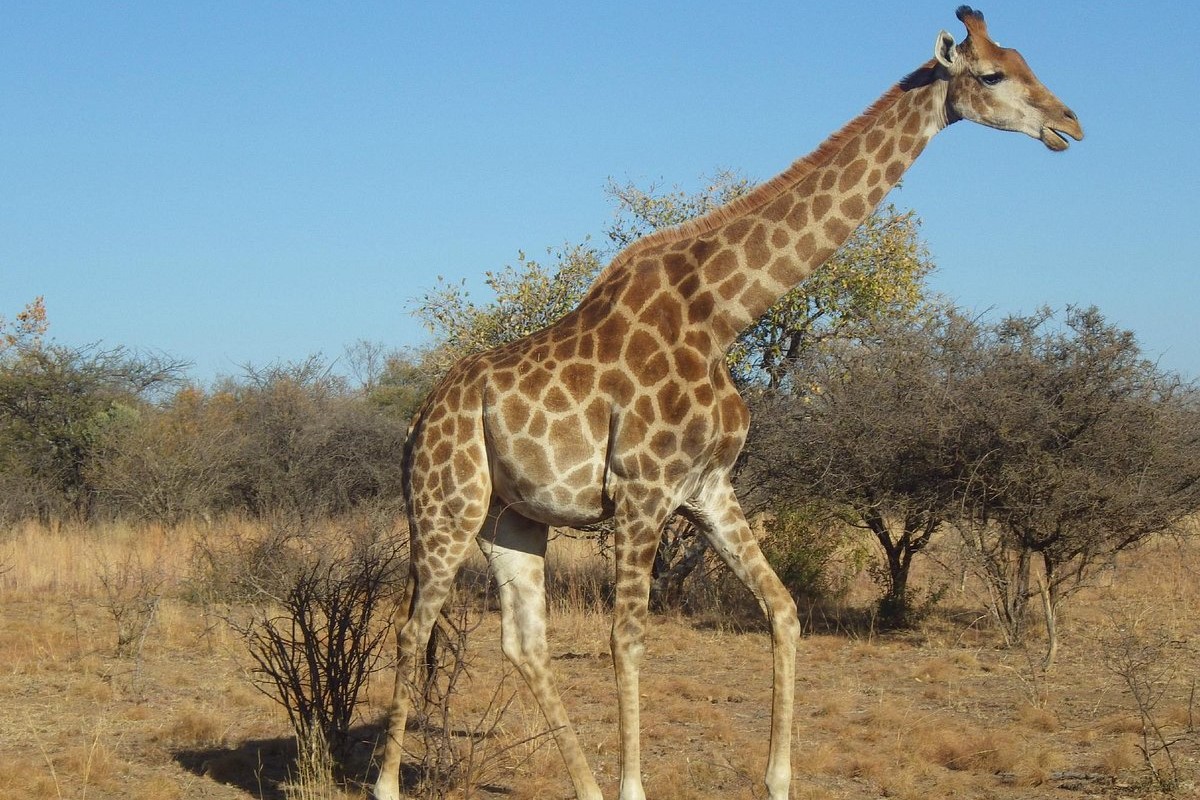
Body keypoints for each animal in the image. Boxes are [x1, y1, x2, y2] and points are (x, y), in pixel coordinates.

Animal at [375, 7, 1081, 800]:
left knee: (524, 643)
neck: (722, 314)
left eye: (1027, 62)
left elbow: (784, 610)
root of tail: (416, 422)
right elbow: (628, 641)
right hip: (445, 507)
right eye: (992, 74)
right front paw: (635, 787)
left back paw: (582, 786)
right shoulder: (642, 490)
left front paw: (777, 779)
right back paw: (387, 785)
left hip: (513, 519)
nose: (1069, 124)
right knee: (411, 629)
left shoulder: (708, 487)